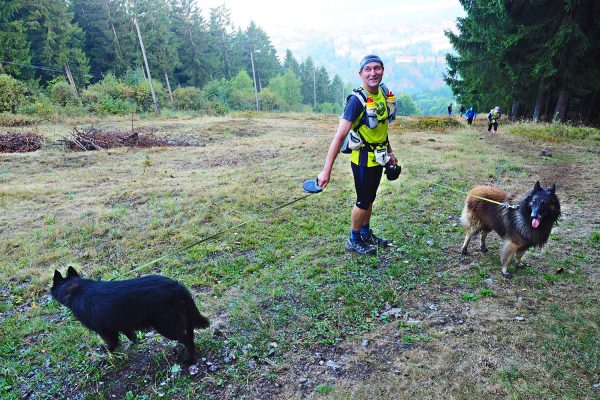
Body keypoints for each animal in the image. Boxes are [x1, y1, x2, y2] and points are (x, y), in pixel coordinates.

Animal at [51, 268, 211, 364]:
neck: (76, 289)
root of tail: (177, 286)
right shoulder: (122, 324)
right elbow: (131, 336)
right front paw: (133, 344)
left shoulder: (105, 331)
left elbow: (112, 343)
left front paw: (108, 352)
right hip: (183, 319)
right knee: (190, 334)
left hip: (166, 327)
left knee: (188, 340)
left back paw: (188, 360)